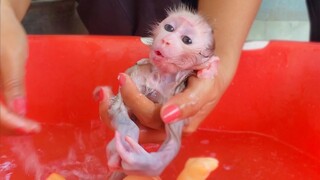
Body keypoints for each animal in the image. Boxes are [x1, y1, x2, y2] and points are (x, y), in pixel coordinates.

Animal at [102, 5, 220, 177]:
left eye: (187, 40)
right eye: (169, 28)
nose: (166, 40)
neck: (160, 78)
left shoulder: (175, 99)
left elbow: (173, 142)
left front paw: (145, 162)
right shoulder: (138, 75)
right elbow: (117, 108)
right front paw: (127, 136)